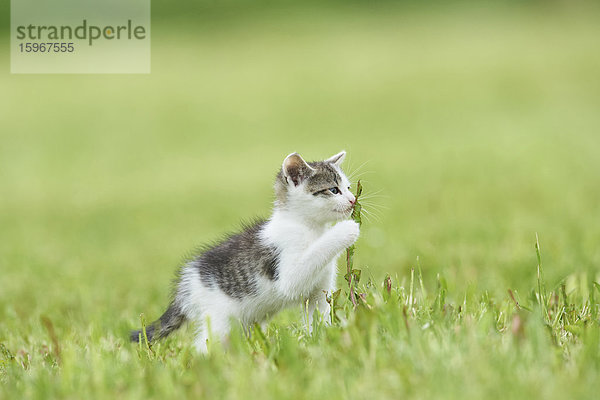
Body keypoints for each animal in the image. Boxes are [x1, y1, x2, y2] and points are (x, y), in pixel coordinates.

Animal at [129, 151, 358, 354]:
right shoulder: (287, 268)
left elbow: (317, 315)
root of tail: (186, 284)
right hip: (219, 315)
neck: (308, 226)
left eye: (348, 187)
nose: (353, 200)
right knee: (205, 344)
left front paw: (322, 341)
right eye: (333, 190)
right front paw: (347, 229)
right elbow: (297, 275)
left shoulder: (318, 292)